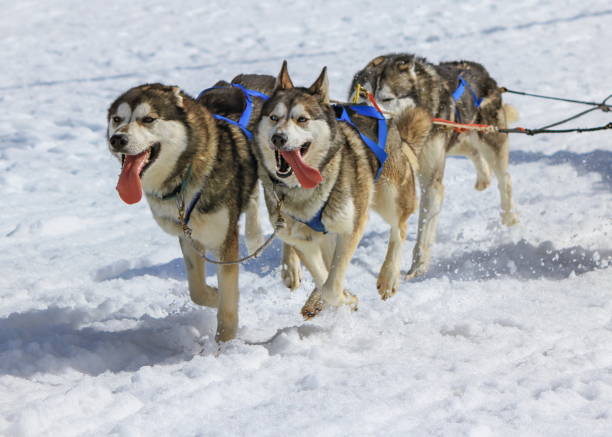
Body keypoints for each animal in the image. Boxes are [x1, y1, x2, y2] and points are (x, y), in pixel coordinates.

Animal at [107, 76, 272, 340]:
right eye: (117, 119)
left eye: (148, 119)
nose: (118, 139)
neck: (184, 176)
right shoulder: (187, 235)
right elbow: (197, 291)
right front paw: (214, 295)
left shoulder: (225, 239)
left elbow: (227, 300)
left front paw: (224, 343)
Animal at [253, 62, 430, 316]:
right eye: (274, 117)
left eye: (302, 119)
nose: (278, 138)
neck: (303, 189)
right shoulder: (303, 241)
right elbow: (324, 278)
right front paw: (342, 298)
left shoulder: (350, 228)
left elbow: (331, 286)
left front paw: (346, 299)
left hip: (389, 196)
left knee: (400, 228)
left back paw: (388, 277)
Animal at [350, 54, 516, 278]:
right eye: (363, 95)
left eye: (387, 99)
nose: (365, 119)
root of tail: (482, 72)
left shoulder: (431, 182)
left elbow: (424, 232)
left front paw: (417, 269)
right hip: (458, 137)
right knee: (472, 151)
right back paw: (483, 178)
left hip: (490, 141)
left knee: (504, 179)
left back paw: (508, 218)